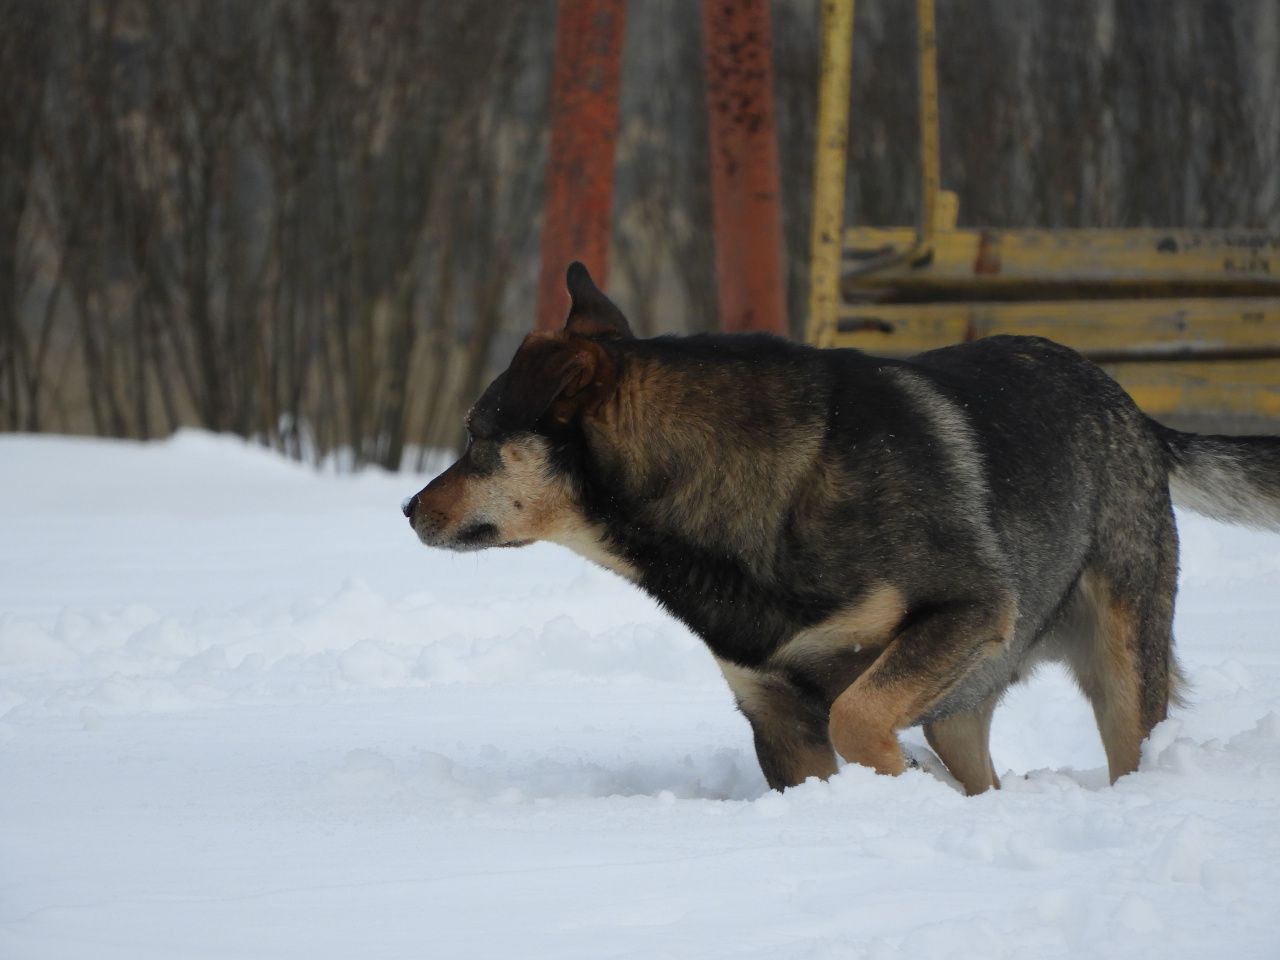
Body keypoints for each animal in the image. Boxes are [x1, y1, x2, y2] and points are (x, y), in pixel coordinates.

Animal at [404, 263, 1280, 798]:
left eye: (478, 437)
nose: (409, 510)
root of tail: (1131, 407)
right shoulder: (775, 713)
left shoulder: (965, 609)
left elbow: (855, 715)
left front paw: (906, 782)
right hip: (960, 704)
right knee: (977, 764)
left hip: (1119, 663)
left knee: (1131, 746)